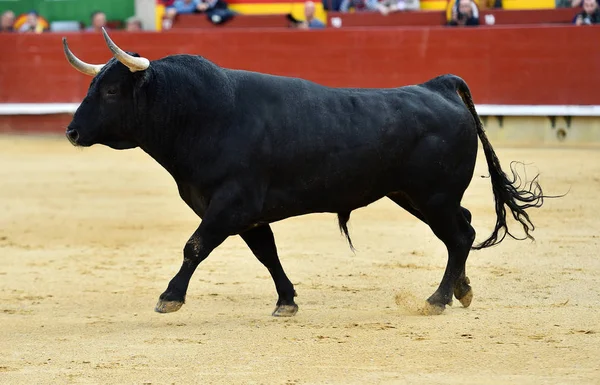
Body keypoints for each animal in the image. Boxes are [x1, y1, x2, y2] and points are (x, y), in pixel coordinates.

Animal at [63, 30, 556, 316]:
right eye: (92, 85)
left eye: (111, 90)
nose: (71, 131)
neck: (204, 115)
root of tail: (439, 86)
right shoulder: (247, 215)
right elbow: (267, 254)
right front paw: (287, 301)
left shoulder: (230, 205)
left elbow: (195, 245)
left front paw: (170, 297)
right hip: (414, 196)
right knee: (464, 230)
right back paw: (460, 291)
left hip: (431, 196)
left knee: (458, 235)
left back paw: (437, 299)